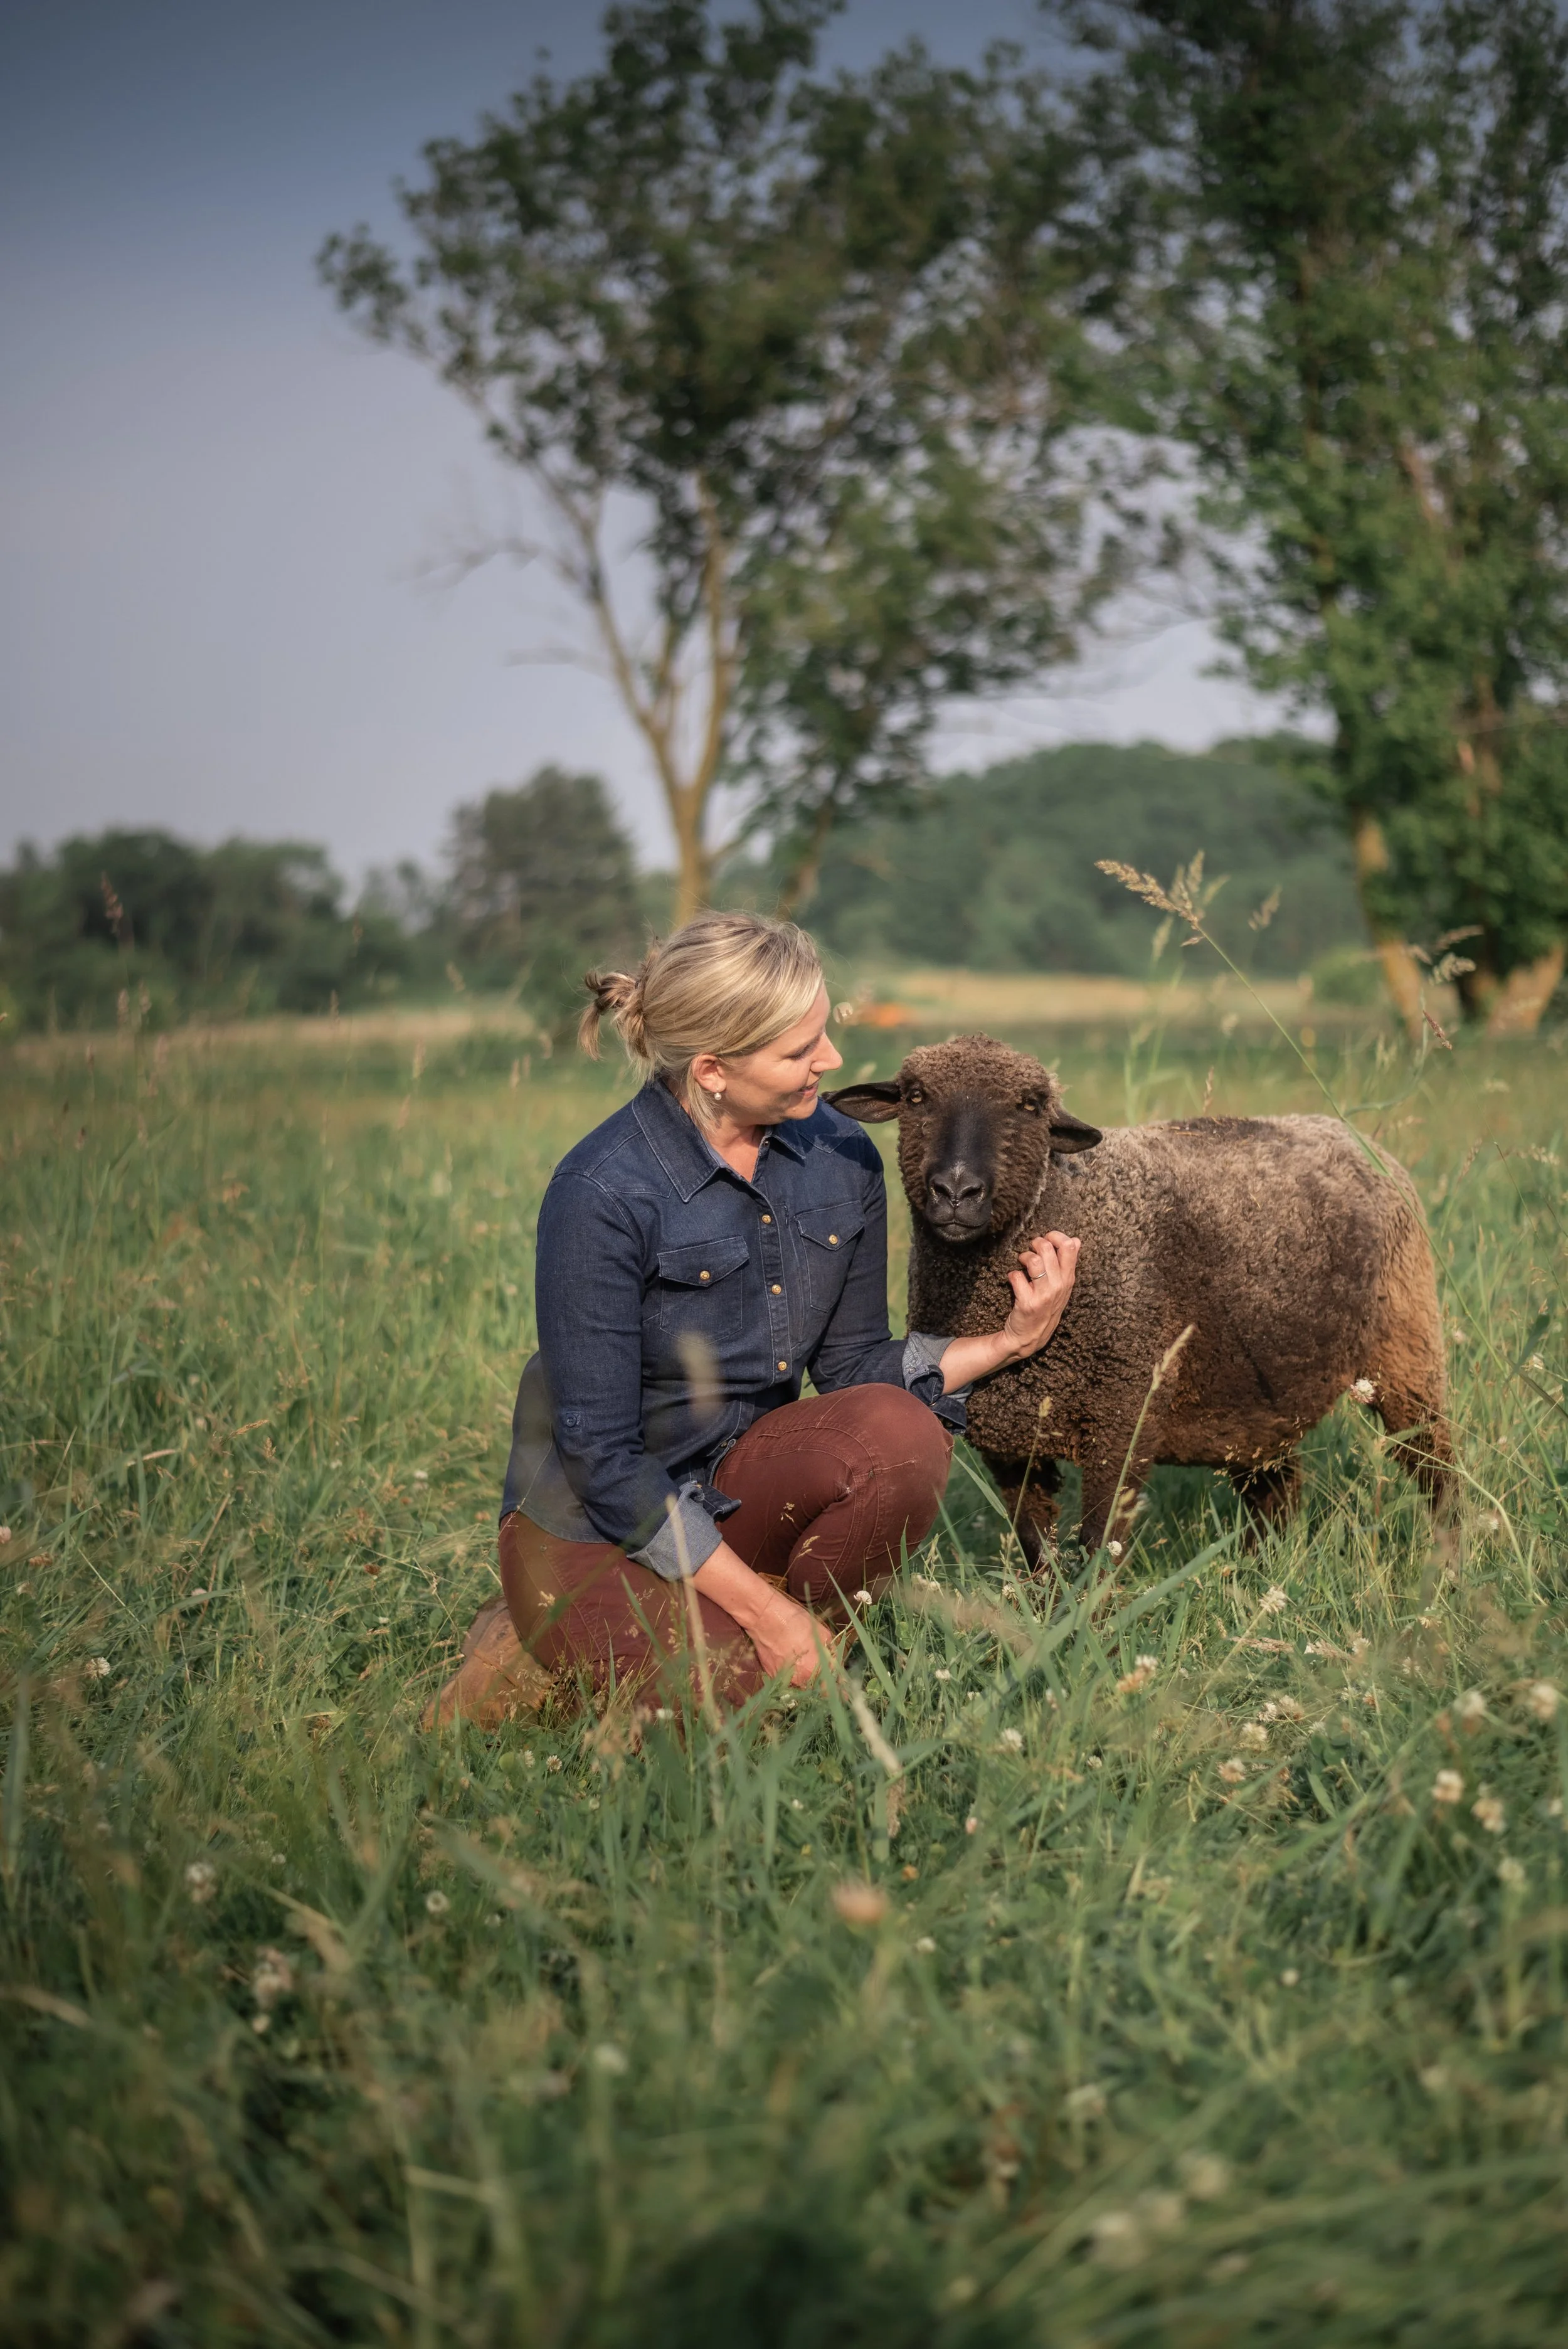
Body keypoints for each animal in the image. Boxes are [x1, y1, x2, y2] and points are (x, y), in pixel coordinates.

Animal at [828, 1035, 1453, 1561]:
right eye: (915, 1096)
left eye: (1030, 1105)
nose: (957, 1190)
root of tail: (1353, 1136)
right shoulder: (1010, 1441)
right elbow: (1036, 1548)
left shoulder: (1123, 1415)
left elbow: (1098, 1544)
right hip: (1258, 1395)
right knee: (1277, 1490)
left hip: (1407, 1346)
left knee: (1436, 1463)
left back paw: (1446, 1562)